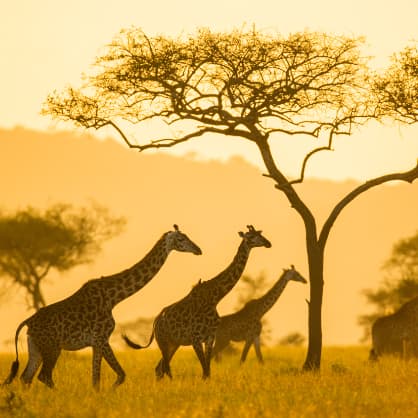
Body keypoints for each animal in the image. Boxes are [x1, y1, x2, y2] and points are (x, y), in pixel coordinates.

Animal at [1, 225, 201, 388]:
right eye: (181, 239)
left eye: (187, 236)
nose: (198, 249)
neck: (113, 298)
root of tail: (27, 322)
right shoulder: (100, 338)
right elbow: (104, 378)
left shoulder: (99, 341)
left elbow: (109, 376)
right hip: (52, 347)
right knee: (44, 376)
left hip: (35, 347)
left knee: (26, 377)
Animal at [121, 225, 272, 378]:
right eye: (251, 237)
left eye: (260, 234)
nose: (268, 243)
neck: (215, 298)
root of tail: (156, 322)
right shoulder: (196, 339)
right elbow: (204, 371)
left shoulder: (210, 337)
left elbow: (208, 371)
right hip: (163, 342)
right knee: (164, 368)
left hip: (174, 343)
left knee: (160, 368)